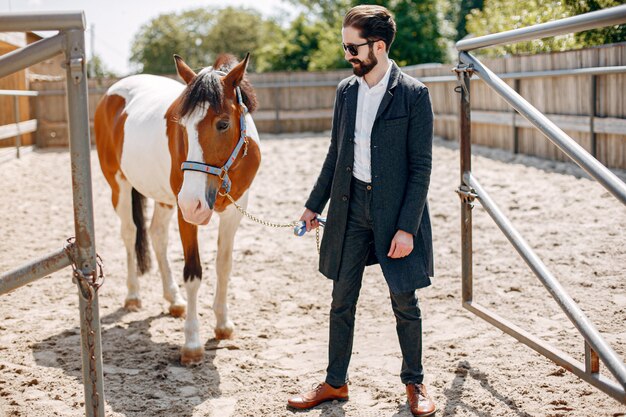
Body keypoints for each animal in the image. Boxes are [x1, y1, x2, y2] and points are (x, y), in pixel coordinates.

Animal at [94, 54, 260, 364]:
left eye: (223, 124)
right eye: (181, 126)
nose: (193, 203)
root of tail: (114, 92)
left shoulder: (234, 212)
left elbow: (224, 266)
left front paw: (223, 324)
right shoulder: (187, 216)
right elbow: (193, 273)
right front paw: (192, 344)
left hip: (167, 199)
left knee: (157, 234)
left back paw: (174, 299)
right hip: (119, 185)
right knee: (130, 233)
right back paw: (133, 296)